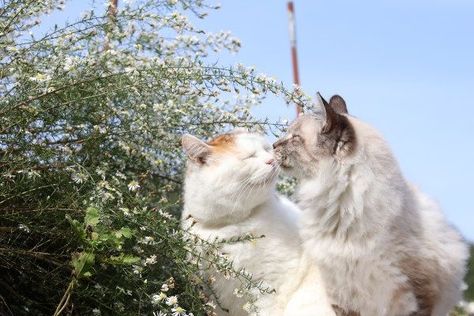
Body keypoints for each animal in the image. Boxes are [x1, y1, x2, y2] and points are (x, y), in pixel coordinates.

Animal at [181, 130, 334, 316]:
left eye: (266, 149)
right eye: (250, 156)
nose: (272, 159)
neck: (227, 226)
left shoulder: (271, 287)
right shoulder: (215, 298)